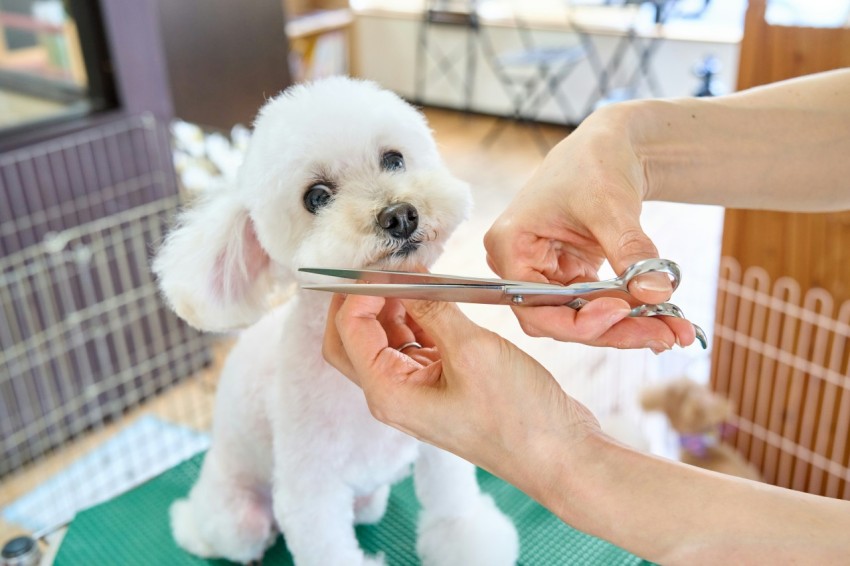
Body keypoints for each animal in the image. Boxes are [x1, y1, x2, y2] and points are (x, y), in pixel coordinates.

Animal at [156, 76, 520, 566]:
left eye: (393, 159)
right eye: (316, 197)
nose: (400, 215)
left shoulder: (441, 441)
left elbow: (452, 503)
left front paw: (466, 541)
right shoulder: (309, 489)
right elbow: (324, 543)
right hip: (238, 515)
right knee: (219, 530)